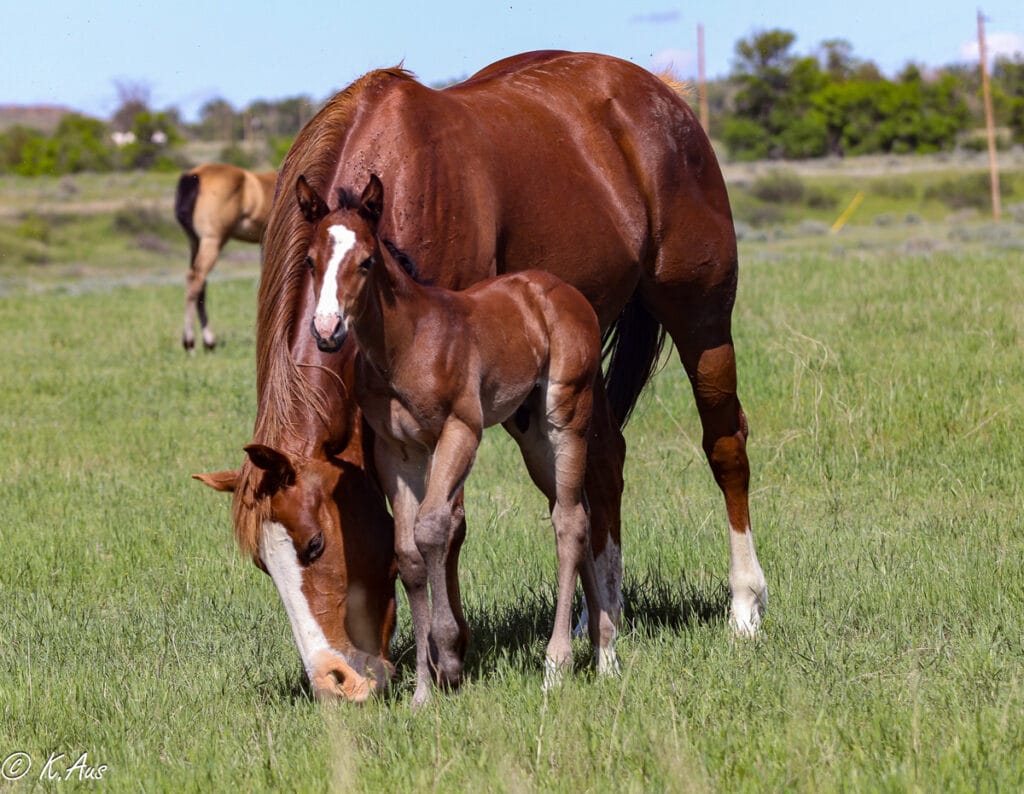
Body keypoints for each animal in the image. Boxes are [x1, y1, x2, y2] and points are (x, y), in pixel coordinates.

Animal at [174, 162, 276, 350]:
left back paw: (208, 342)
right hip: (212, 241)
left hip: (195, 242)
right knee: (196, 280)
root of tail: (195, 176)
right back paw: (191, 342)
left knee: (200, 284)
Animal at [197, 49, 770, 704]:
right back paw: (599, 622)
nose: (334, 685)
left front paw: (450, 655)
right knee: (599, 472)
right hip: (567, 380)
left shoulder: (458, 407)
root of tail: (665, 93)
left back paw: (744, 607)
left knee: (724, 447)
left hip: (701, 319)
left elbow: (449, 523)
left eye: (316, 543)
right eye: (263, 564)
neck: (402, 175)